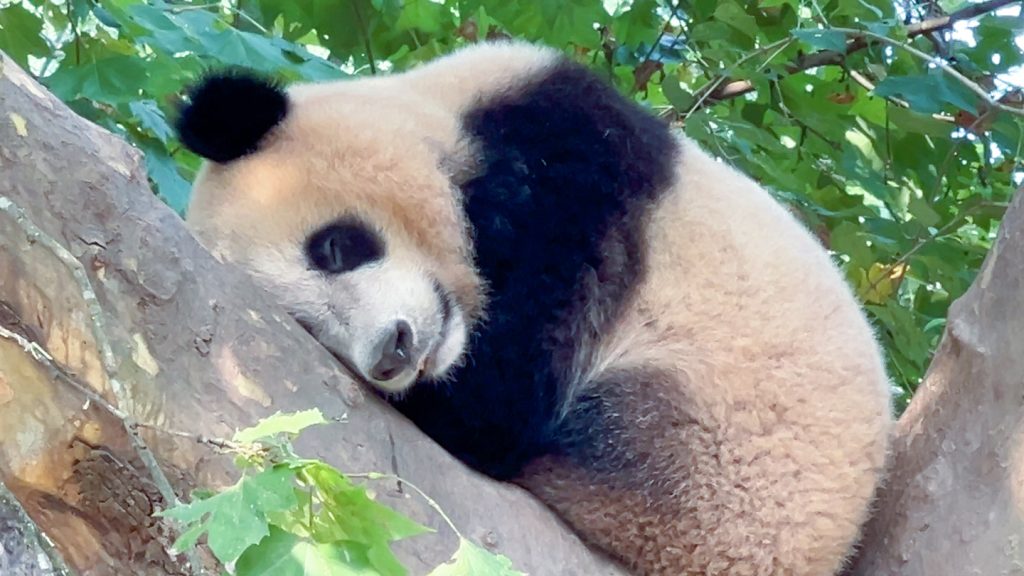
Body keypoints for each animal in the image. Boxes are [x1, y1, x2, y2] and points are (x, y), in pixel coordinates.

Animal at [176, 41, 893, 576]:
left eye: (333, 247)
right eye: (307, 326)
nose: (392, 353)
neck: (442, 115)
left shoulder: (575, 181)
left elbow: (501, 409)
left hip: (726, 459)